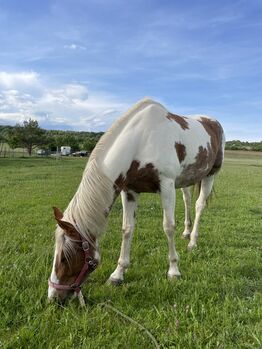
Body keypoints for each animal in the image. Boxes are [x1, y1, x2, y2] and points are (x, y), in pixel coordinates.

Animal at [47, 97, 225, 302]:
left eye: (64, 258)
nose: (53, 297)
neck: (141, 141)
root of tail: (214, 123)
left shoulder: (166, 185)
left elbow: (168, 227)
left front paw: (174, 271)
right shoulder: (130, 191)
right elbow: (127, 229)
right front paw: (117, 275)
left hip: (210, 175)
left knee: (199, 205)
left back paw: (192, 242)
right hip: (186, 180)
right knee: (188, 201)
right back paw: (186, 233)